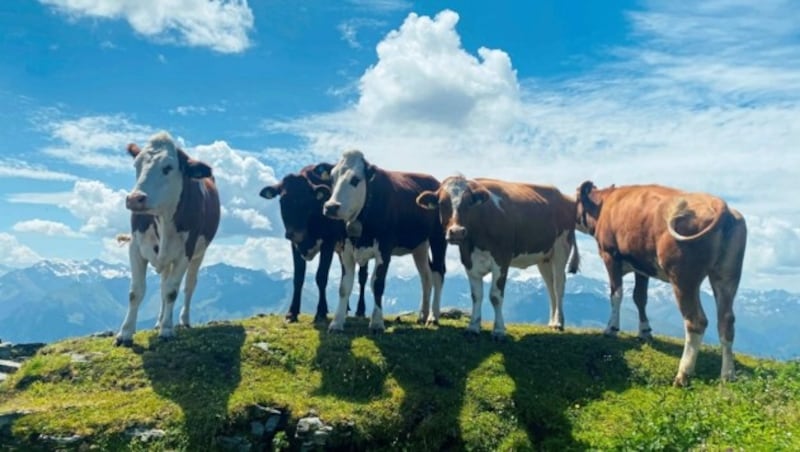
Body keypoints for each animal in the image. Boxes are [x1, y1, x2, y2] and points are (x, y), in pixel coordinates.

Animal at [114, 131, 220, 346]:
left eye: (168, 167)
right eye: (136, 165)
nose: (134, 199)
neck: (163, 218)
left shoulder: (186, 252)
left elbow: (172, 291)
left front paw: (167, 329)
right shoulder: (135, 247)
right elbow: (135, 292)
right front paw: (126, 332)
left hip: (199, 254)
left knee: (188, 285)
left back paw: (183, 320)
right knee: (163, 284)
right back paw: (159, 320)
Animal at [260, 164, 368, 324]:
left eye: (306, 201)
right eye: (282, 201)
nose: (294, 233)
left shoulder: (328, 242)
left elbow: (321, 276)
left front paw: (321, 312)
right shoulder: (295, 245)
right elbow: (298, 277)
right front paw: (292, 312)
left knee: (362, 276)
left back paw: (360, 310)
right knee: (345, 272)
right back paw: (346, 308)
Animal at [318, 150, 446, 330]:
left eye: (355, 179)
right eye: (331, 178)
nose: (330, 207)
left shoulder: (384, 249)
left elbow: (377, 284)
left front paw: (377, 322)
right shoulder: (346, 250)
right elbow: (344, 287)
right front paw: (337, 323)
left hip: (438, 239)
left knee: (438, 273)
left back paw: (433, 316)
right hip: (420, 245)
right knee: (425, 275)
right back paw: (423, 314)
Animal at [416, 177, 580, 340]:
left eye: (469, 202)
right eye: (442, 203)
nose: (457, 232)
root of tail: (563, 196)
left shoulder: (502, 260)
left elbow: (495, 296)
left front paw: (499, 331)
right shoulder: (469, 262)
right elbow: (476, 296)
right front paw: (473, 327)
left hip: (561, 248)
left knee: (558, 285)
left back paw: (558, 323)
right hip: (544, 257)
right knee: (550, 286)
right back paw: (552, 322)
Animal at [576, 182, 752, 386]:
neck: (606, 203)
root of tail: (720, 204)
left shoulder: (610, 255)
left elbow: (616, 294)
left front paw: (611, 329)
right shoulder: (641, 267)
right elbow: (640, 298)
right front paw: (644, 332)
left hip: (684, 278)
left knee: (696, 321)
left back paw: (683, 375)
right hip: (727, 276)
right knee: (726, 320)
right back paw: (728, 375)